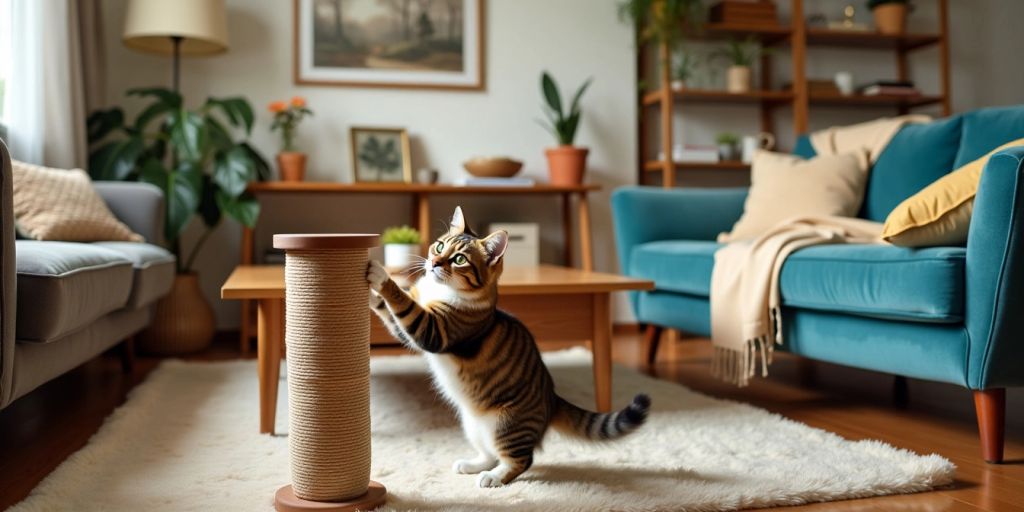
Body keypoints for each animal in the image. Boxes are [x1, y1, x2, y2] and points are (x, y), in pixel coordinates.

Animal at [364, 205, 647, 485]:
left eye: (459, 260)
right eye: (439, 246)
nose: (433, 263)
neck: (438, 291)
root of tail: (552, 398)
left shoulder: (434, 330)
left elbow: (402, 301)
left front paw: (381, 276)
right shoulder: (405, 329)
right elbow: (388, 311)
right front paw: (369, 294)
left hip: (505, 425)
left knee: (521, 460)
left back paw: (493, 478)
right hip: (472, 425)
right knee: (490, 454)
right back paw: (471, 465)